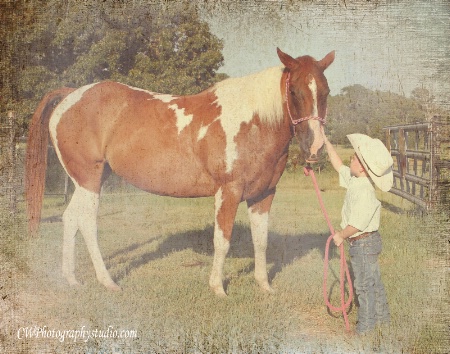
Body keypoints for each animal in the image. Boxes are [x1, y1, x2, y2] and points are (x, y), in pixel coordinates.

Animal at [24, 47, 334, 296]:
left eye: (326, 92)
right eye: (294, 91)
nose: (315, 145)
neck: (253, 123)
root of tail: (70, 96)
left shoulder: (264, 194)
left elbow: (261, 241)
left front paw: (265, 286)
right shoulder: (229, 192)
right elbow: (222, 241)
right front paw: (218, 289)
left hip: (90, 180)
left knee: (70, 219)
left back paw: (71, 279)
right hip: (89, 180)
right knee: (87, 224)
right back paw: (107, 281)